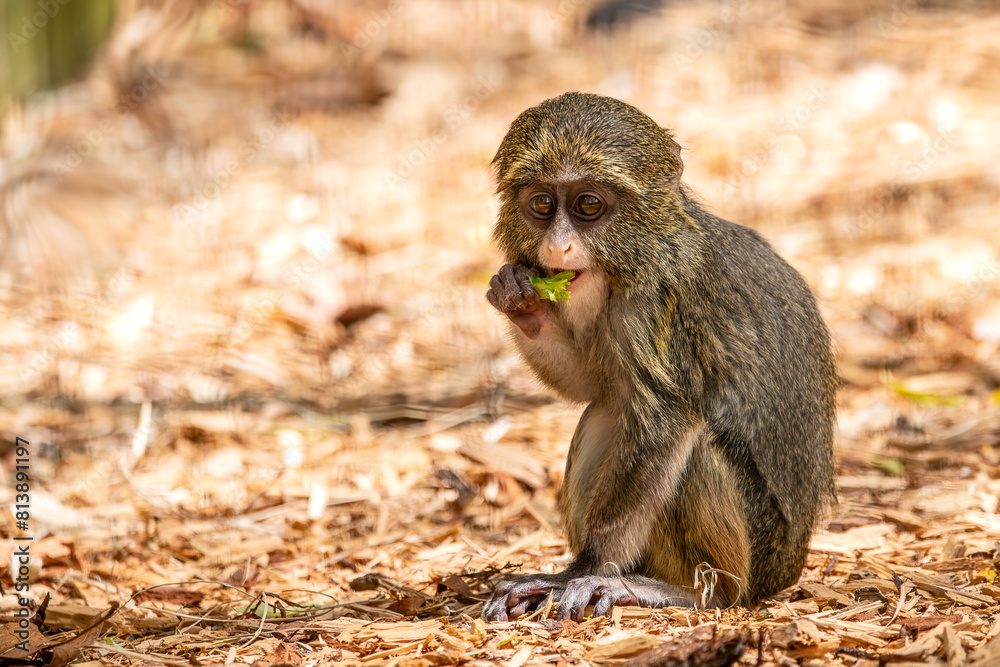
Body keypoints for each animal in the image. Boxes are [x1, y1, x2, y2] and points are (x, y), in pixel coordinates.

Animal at [482, 92, 836, 622]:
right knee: (607, 409)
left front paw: (577, 571)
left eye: (588, 205)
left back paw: (688, 593)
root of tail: (787, 571)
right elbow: (592, 385)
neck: (646, 250)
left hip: (758, 549)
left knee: (692, 446)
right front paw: (523, 300)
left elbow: (667, 420)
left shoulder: (657, 304)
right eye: (542, 204)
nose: (557, 246)